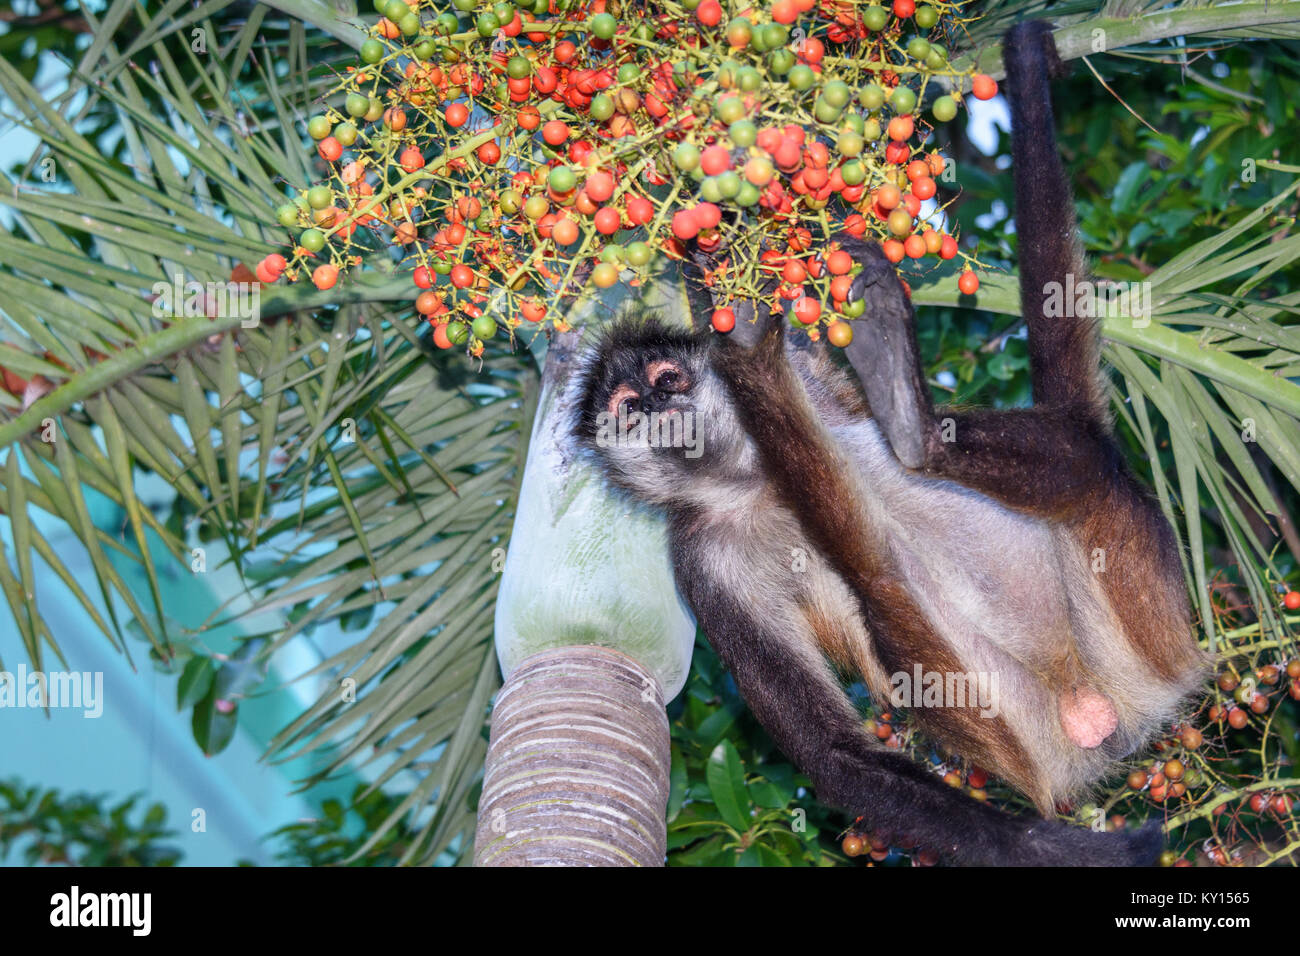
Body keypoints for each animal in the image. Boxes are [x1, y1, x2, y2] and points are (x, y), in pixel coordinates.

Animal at [574, 20, 1201, 868]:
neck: (752, 479)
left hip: (1135, 607)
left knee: (1077, 459)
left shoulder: (809, 367)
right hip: (1050, 702)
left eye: (667, 381)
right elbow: (839, 757)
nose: (658, 410)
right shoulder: (701, 561)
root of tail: (1113, 709)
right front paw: (1055, 850)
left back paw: (894, 411)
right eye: (629, 409)